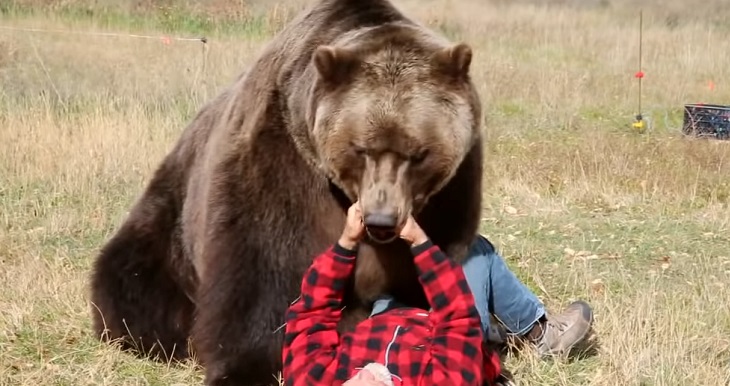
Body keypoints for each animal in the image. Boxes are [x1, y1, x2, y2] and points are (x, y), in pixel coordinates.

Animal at [89, 0, 484, 386]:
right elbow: (263, 269)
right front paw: (248, 368)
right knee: (133, 284)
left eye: (418, 154)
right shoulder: (280, 163)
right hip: (169, 226)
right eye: (361, 149)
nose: (381, 220)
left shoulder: (450, 196)